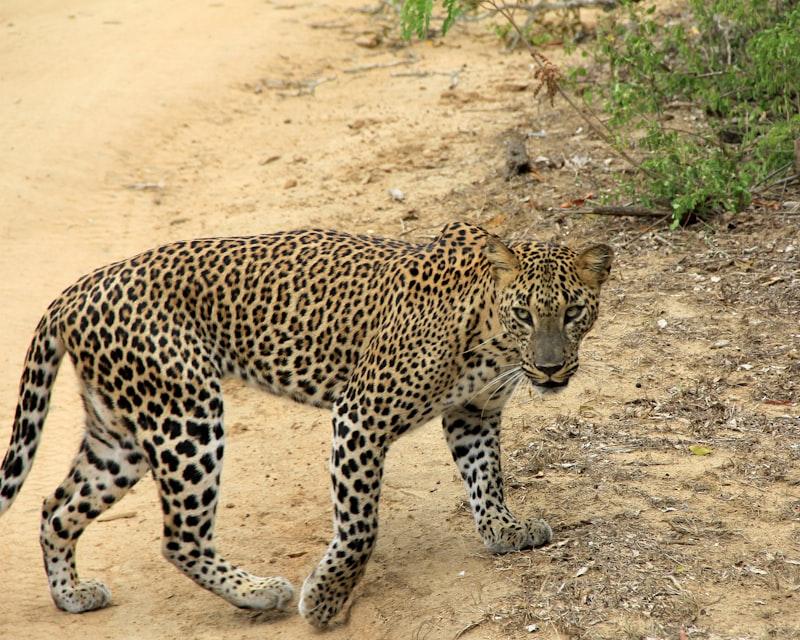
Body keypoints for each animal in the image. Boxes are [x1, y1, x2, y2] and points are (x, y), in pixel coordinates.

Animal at [0, 221, 612, 627]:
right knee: (179, 537)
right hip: (185, 415)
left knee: (56, 507)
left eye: (573, 314)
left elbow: (487, 477)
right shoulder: (361, 417)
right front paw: (323, 601)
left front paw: (504, 530)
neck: (490, 338)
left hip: (121, 434)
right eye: (526, 314)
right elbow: (361, 527)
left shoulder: (474, 412)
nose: (552, 368)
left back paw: (72, 596)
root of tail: (75, 291)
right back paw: (259, 592)